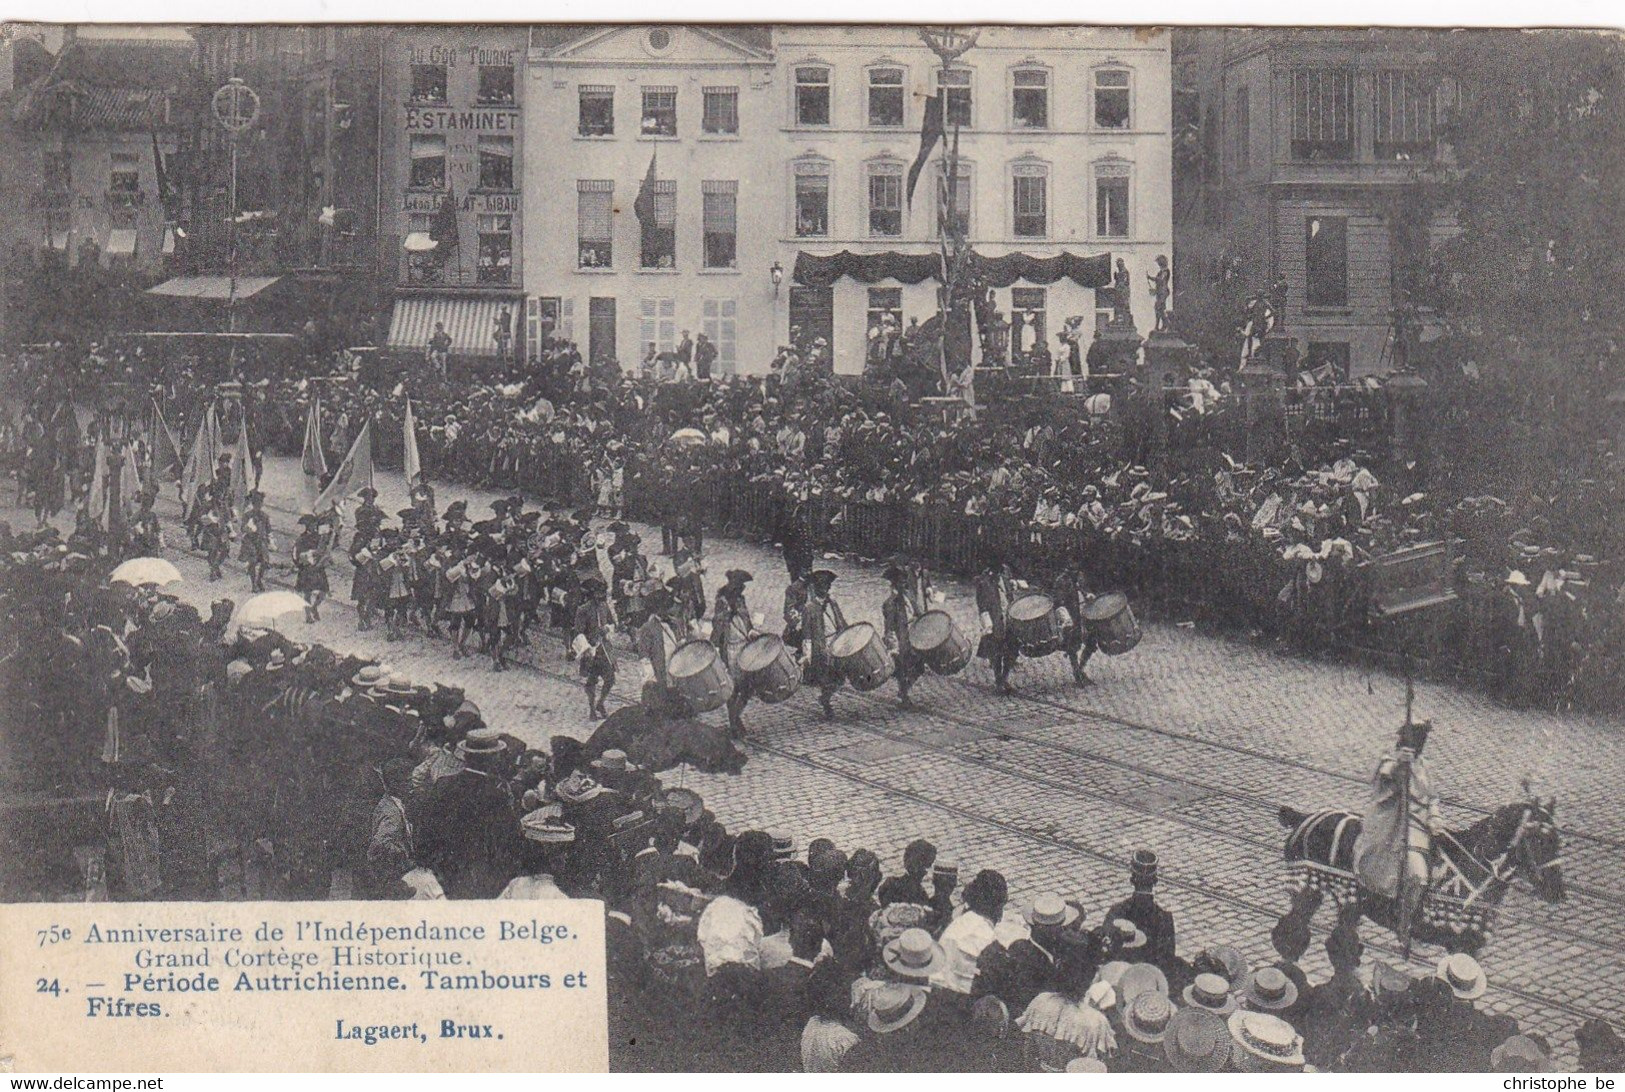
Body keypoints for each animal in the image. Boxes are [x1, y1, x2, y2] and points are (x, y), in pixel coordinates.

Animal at [1274, 793, 1566, 955]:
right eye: (1540, 839)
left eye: (1558, 838)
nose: (1557, 891)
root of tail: (1306, 817)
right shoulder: (1460, 944)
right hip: (1307, 892)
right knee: (1292, 928)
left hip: (1350, 905)